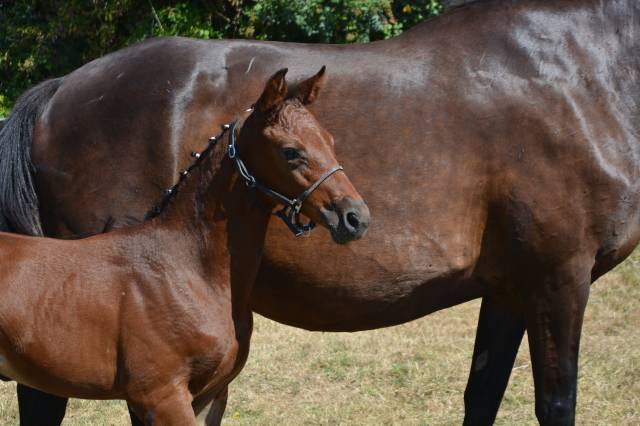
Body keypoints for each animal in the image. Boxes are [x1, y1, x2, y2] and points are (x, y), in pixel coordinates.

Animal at [0, 67, 369, 425]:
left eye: (330, 140)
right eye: (291, 151)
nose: (355, 217)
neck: (189, 268)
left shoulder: (208, 395)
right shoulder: (160, 396)